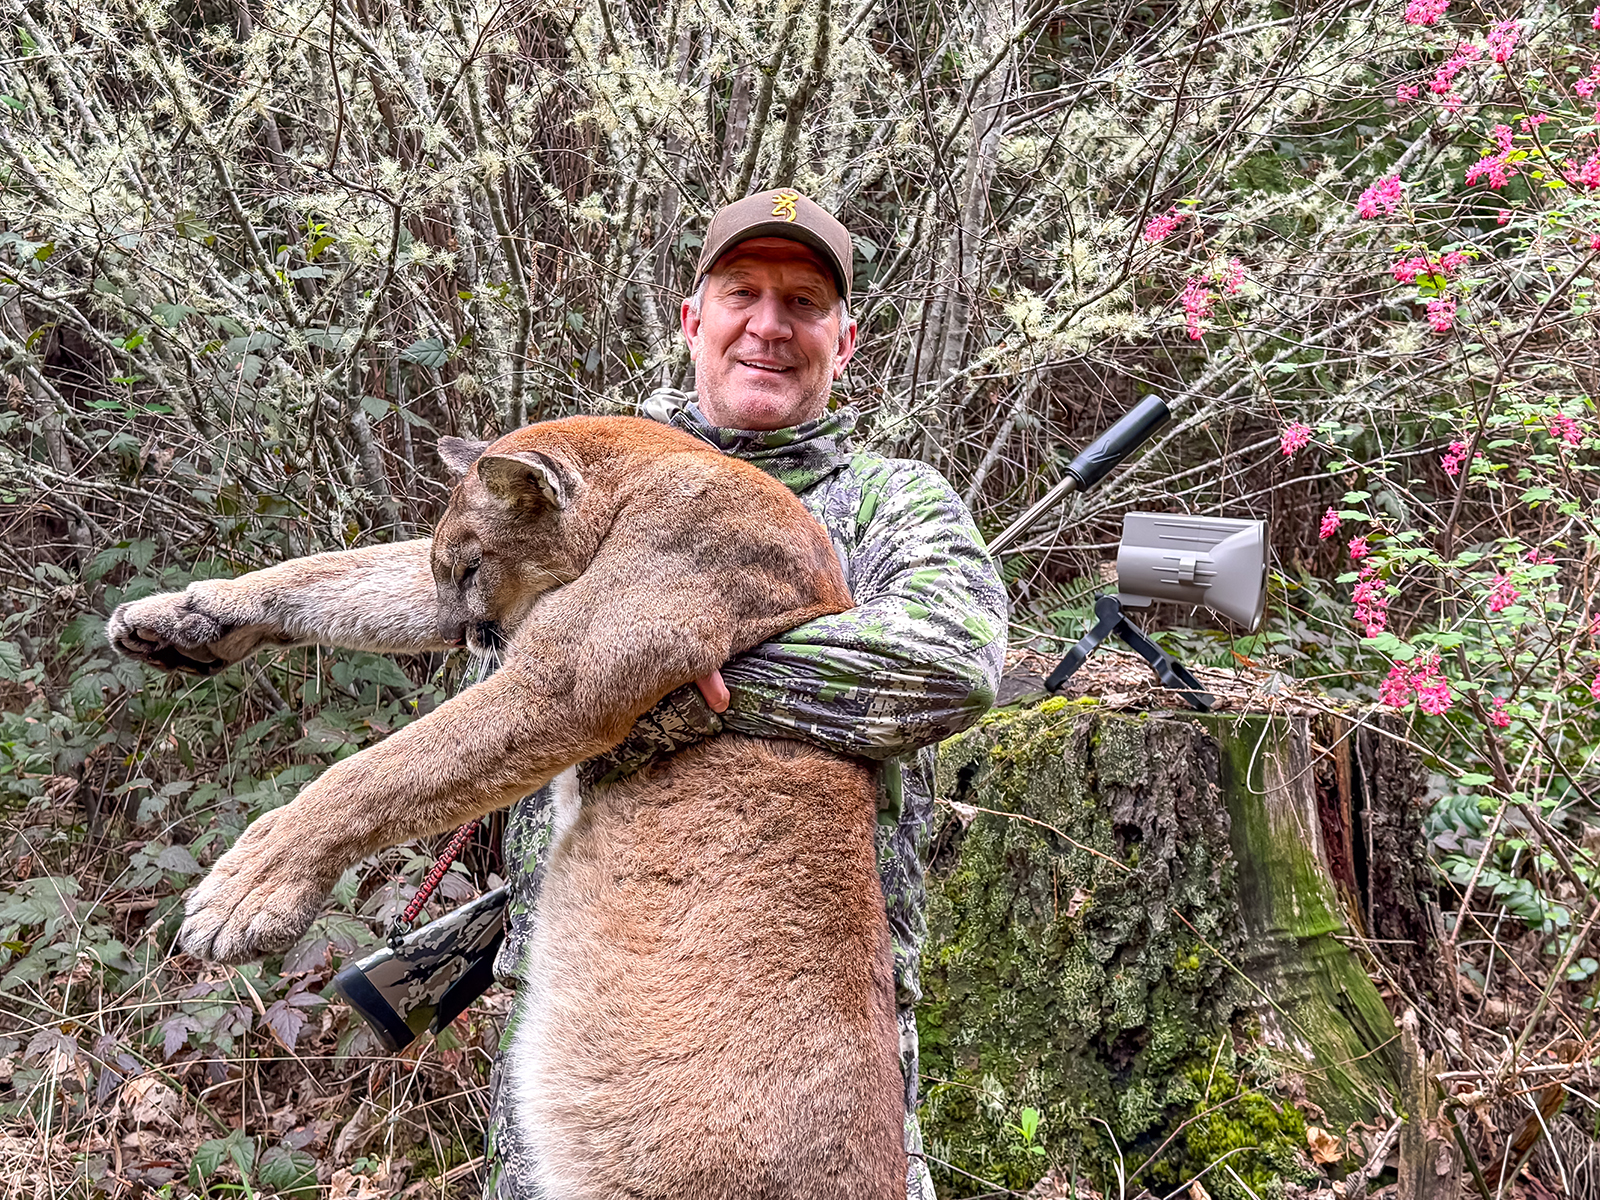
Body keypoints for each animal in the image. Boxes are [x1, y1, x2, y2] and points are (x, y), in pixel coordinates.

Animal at [108, 416, 908, 1198]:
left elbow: (373, 771)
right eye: (447, 571)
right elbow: (342, 573)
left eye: (471, 568)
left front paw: (250, 888)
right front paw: (182, 617)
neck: (643, 477)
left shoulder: (563, 677)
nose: (464, 634)